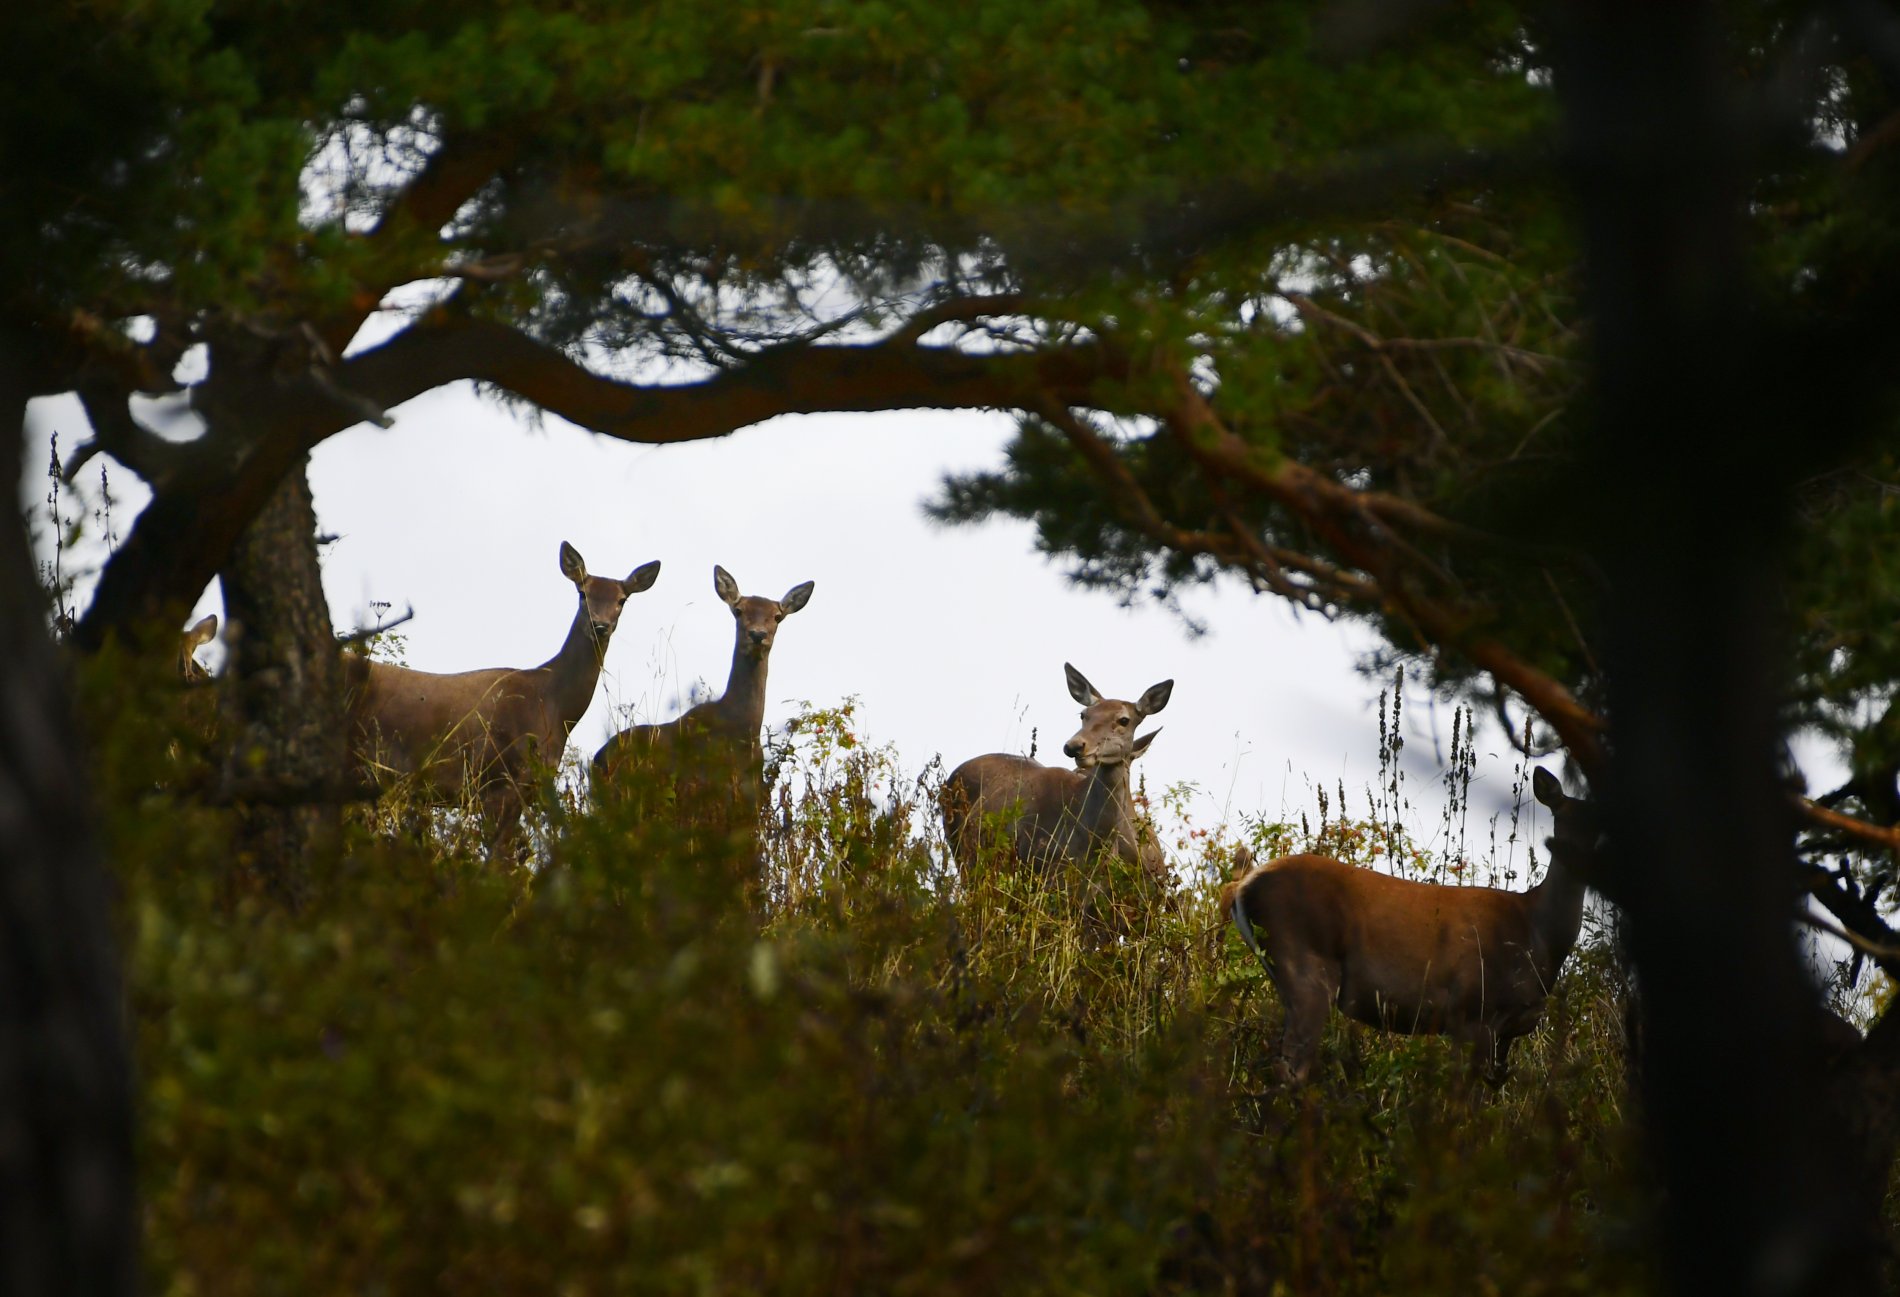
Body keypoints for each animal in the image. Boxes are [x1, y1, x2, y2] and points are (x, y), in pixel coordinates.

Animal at [1216, 767, 1603, 1093]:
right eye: (1560, 818)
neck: (1537, 935)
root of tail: (1242, 885)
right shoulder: (1473, 1009)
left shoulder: (1505, 1031)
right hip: (1306, 964)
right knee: (1290, 1069)